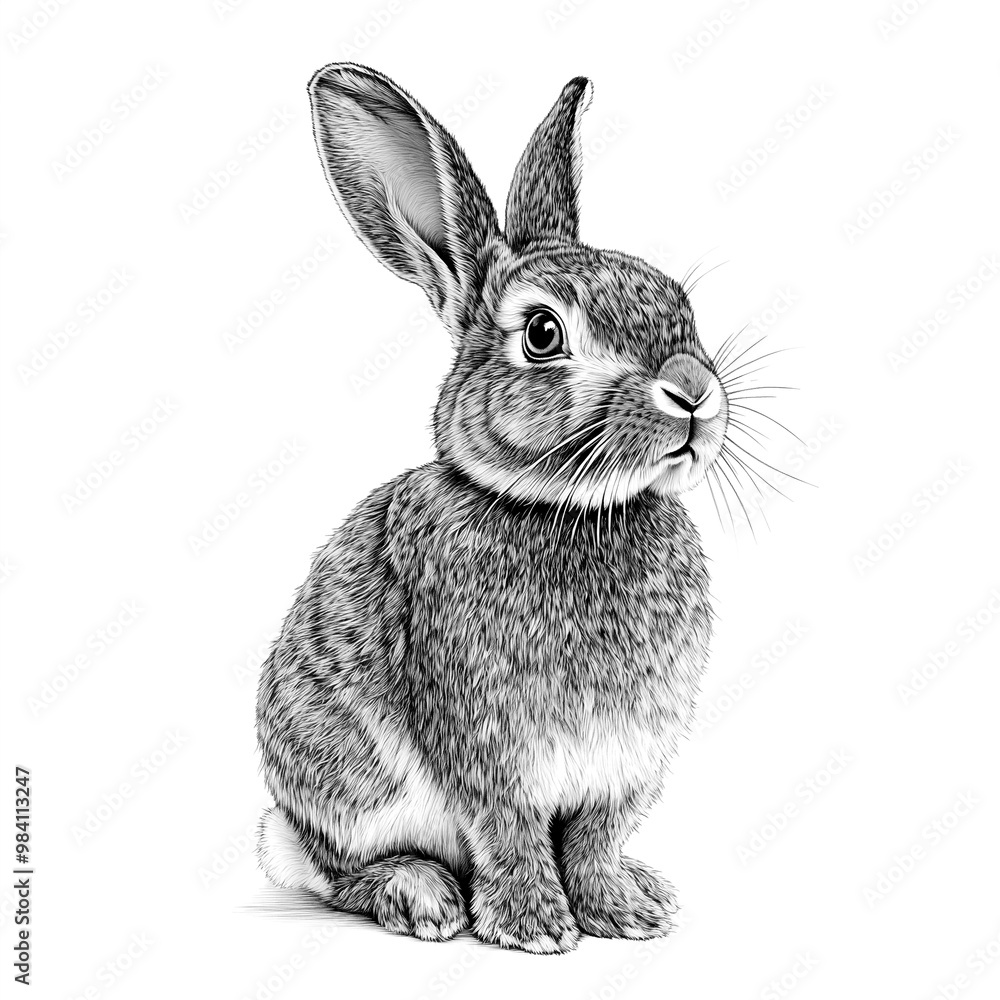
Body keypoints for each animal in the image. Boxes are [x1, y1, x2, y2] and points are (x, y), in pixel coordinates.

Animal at [256, 62, 731, 954]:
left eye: (678, 301)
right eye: (542, 333)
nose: (692, 391)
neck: (565, 509)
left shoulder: (624, 766)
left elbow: (594, 840)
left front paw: (624, 913)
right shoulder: (485, 747)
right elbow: (509, 829)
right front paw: (536, 929)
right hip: (346, 782)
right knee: (336, 871)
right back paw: (422, 897)